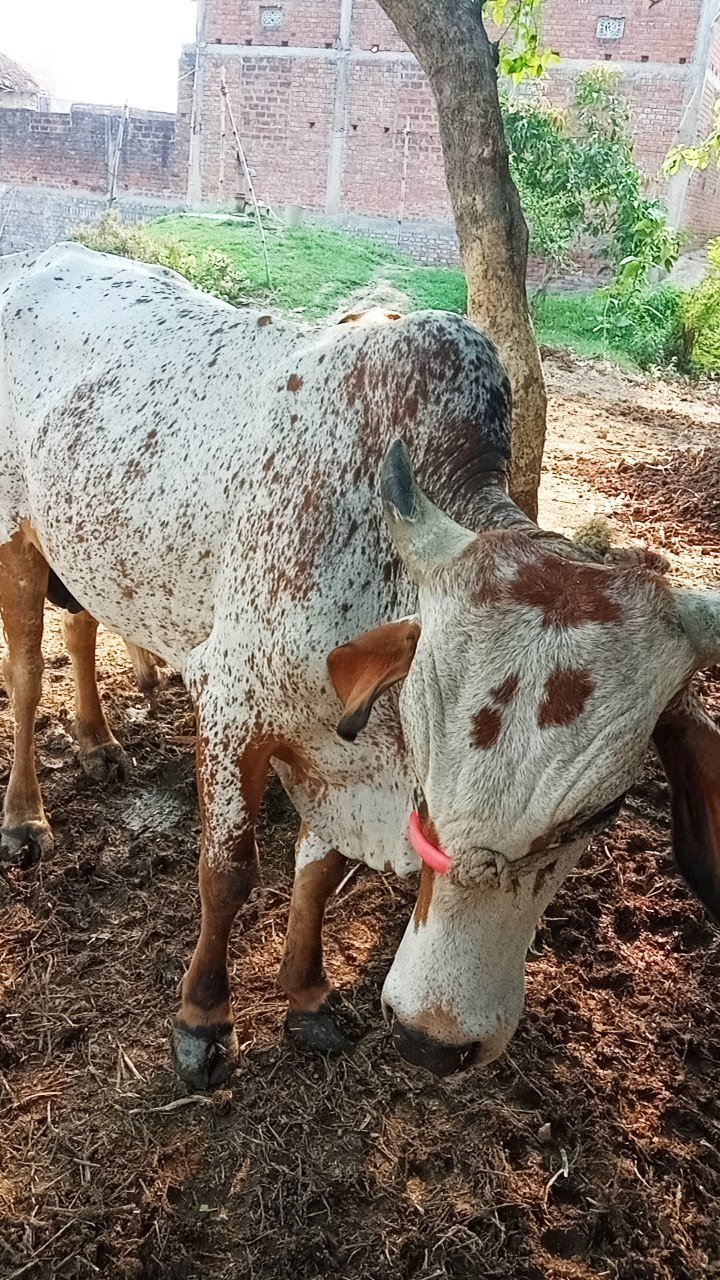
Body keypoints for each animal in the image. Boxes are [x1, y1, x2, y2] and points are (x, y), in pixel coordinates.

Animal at [2, 242, 720, 1091]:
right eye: (426, 775)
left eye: (601, 814)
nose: (434, 1040)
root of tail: (47, 255)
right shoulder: (229, 701)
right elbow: (228, 871)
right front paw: (203, 1021)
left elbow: (317, 872)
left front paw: (307, 997)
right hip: (16, 540)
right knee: (24, 679)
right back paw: (24, 817)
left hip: (84, 546)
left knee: (81, 625)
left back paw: (98, 742)